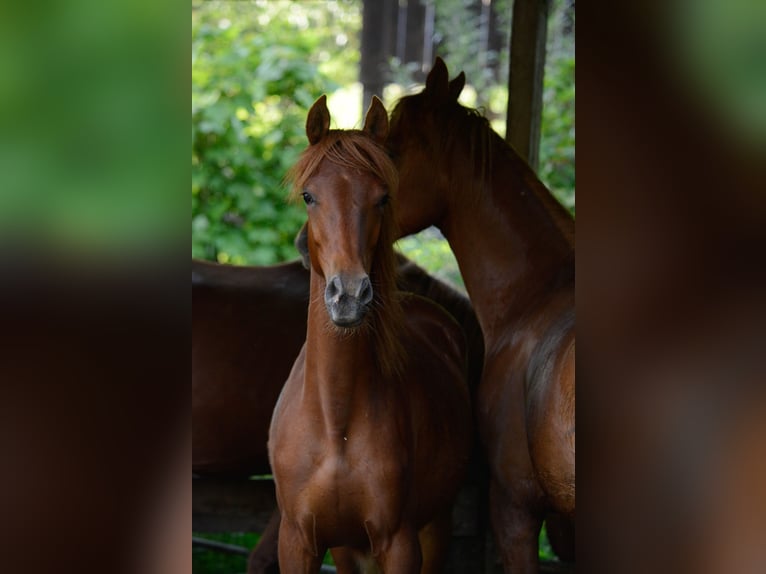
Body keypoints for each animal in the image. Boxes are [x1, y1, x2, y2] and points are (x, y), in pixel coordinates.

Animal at [270, 97, 474, 572]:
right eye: (309, 196)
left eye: (382, 197)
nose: (348, 294)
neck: (335, 424)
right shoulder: (297, 542)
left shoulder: (399, 542)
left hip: (434, 527)